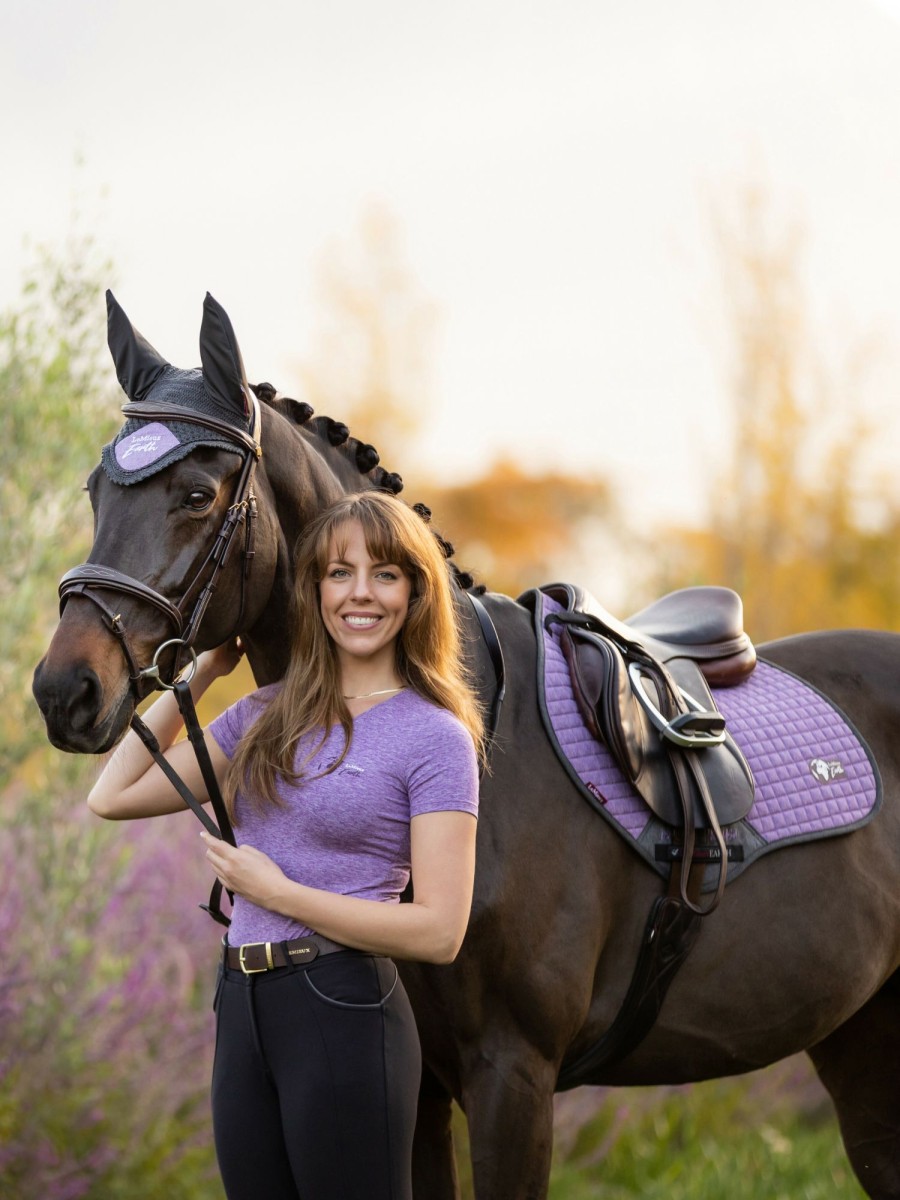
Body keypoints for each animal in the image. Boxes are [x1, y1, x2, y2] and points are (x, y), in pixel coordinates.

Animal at [31, 292, 900, 1200]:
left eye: (198, 494)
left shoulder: (511, 1075)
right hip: (862, 1042)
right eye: (95, 490)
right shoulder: (416, 1087)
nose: (65, 690)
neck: (485, 739)